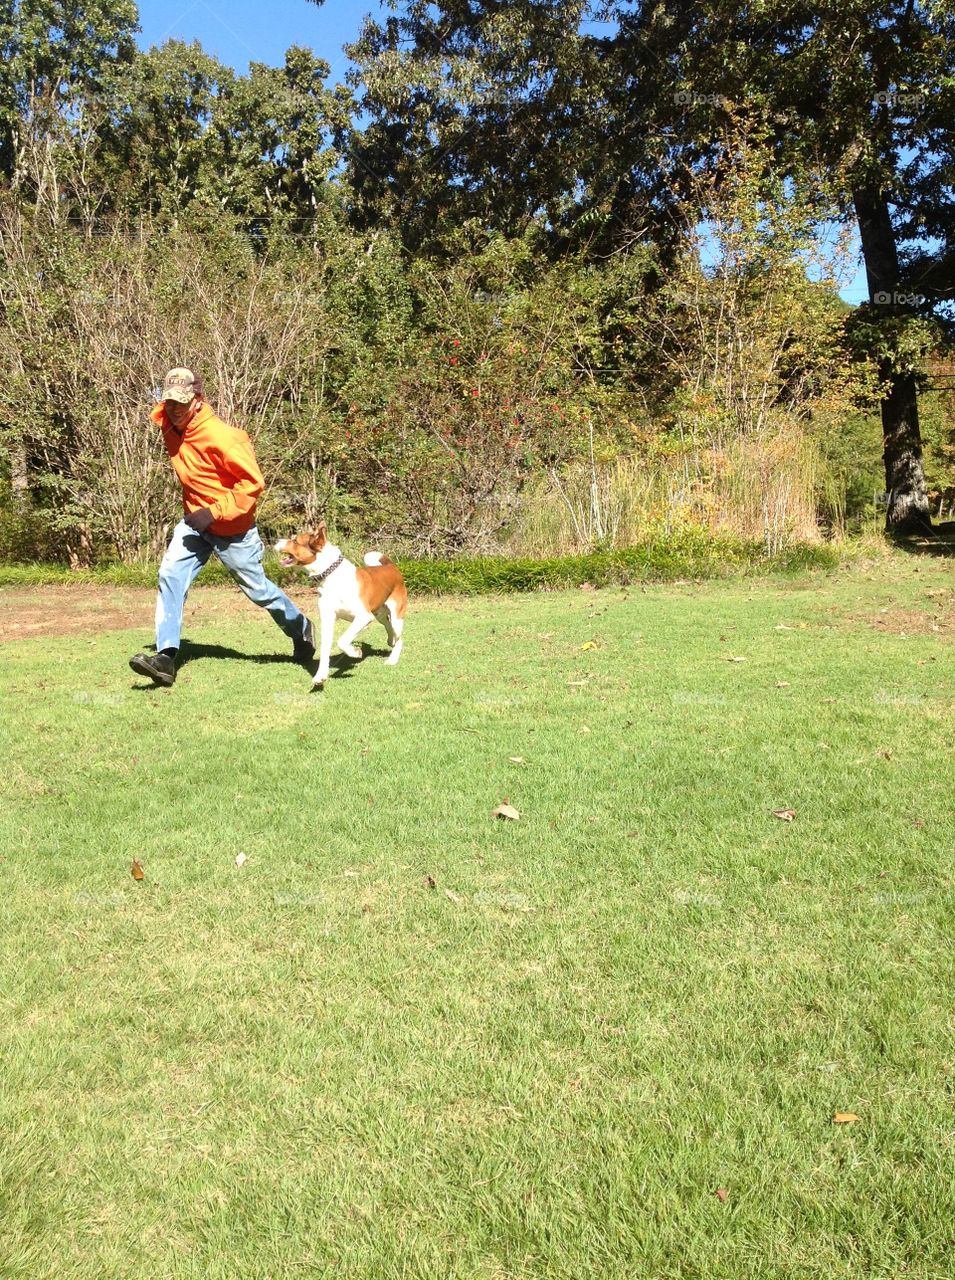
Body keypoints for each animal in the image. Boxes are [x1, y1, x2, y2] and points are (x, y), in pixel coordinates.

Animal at [273, 519, 404, 686]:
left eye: (295, 541)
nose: (276, 541)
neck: (332, 577)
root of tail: (391, 566)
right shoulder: (328, 619)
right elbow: (325, 649)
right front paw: (320, 676)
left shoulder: (363, 617)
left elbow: (342, 640)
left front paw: (354, 652)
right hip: (378, 613)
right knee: (387, 624)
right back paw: (390, 639)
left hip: (396, 616)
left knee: (400, 638)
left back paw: (392, 659)